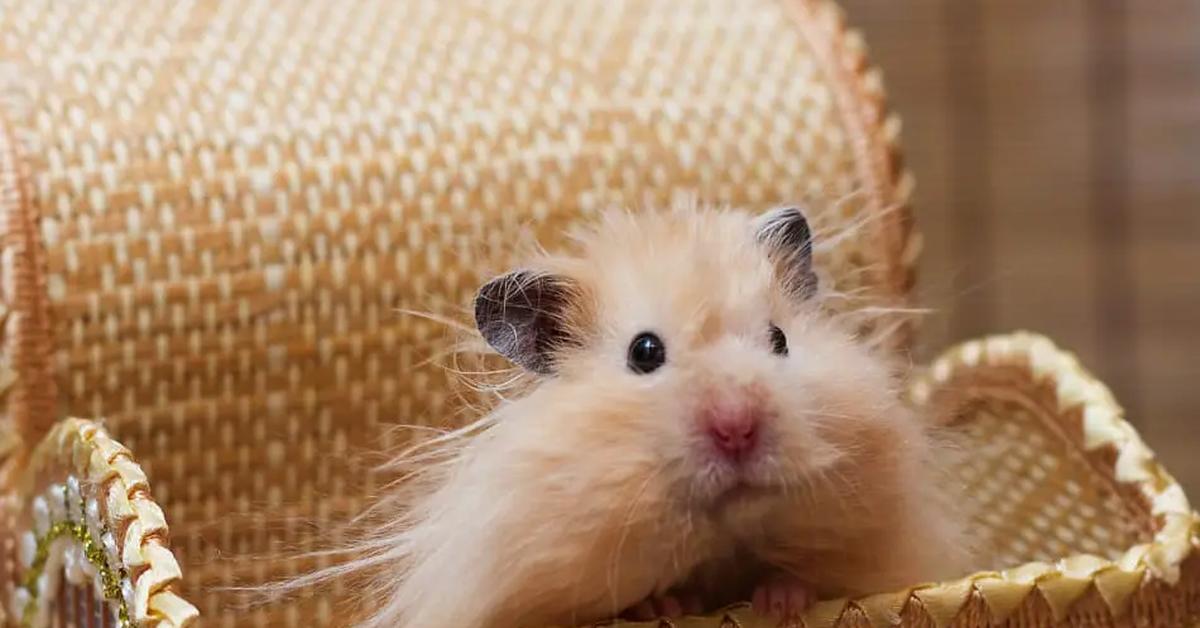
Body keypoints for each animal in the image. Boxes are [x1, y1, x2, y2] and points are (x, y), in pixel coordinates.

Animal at [316, 206, 964, 628]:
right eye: (644, 353)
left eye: (780, 340)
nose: (738, 428)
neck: (719, 548)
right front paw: (663, 607)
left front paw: (779, 602)